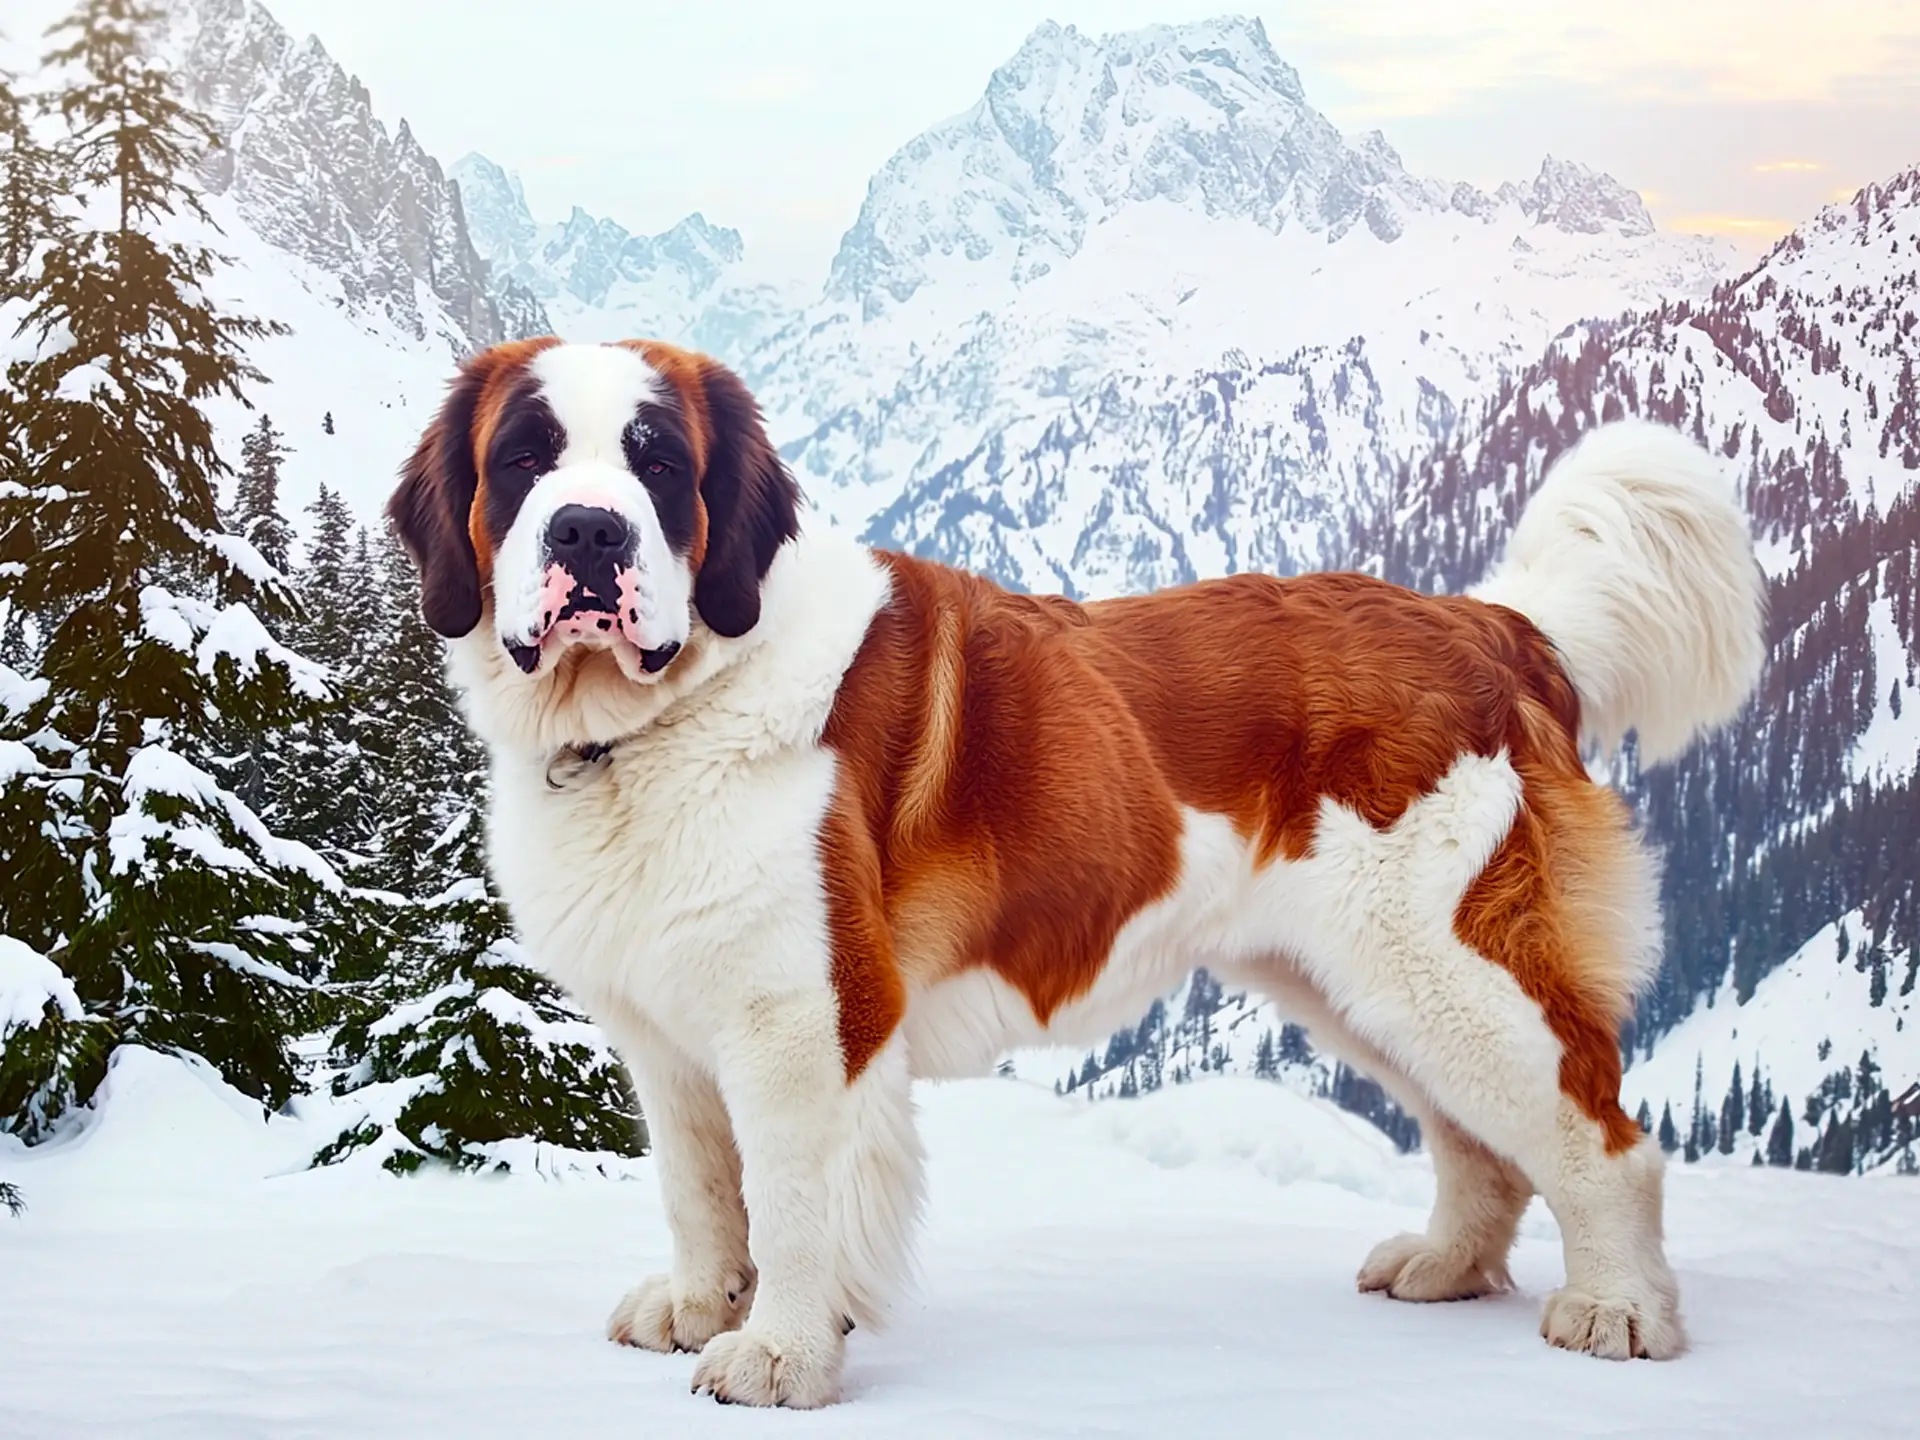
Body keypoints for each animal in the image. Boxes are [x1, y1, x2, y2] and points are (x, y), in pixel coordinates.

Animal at [389, 337, 1766, 1413]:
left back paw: (1621, 1313)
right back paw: (1447, 1268)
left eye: (659, 464)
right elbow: (697, 1184)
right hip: (1361, 979)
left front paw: (779, 1352)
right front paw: (698, 1302)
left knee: (1602, 1138)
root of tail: (1495, 624)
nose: (589, 530)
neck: (656, 719)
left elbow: (785, 1195)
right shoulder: (669, 1025)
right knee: (1479, 1138)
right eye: (525, 461)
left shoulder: (804, 1014)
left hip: (1442, 959)